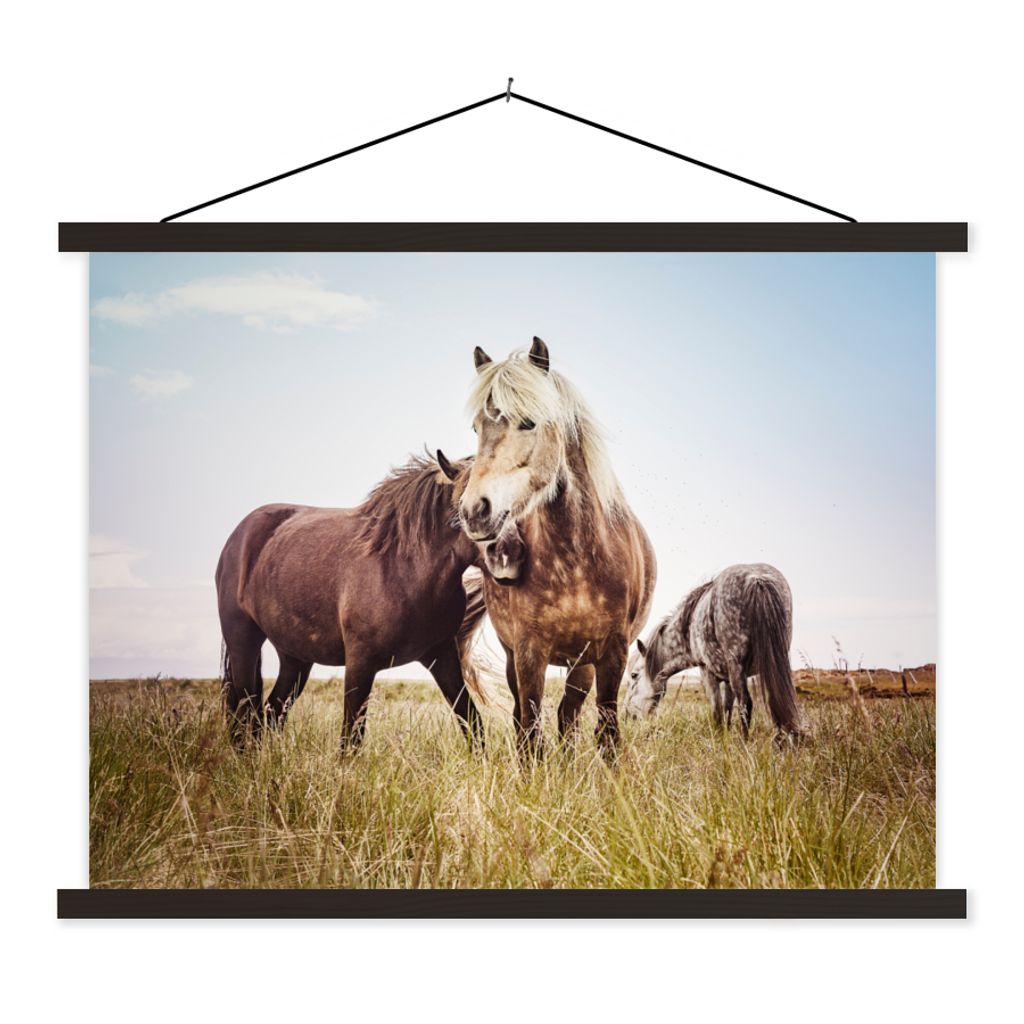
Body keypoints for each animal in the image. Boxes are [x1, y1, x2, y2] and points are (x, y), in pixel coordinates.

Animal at [215, 455, 502, 749]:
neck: (404, 567)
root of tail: (239, 535)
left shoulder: (442, 656)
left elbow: (472, 721)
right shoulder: (360, 662)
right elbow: (351, 735)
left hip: (295, 658)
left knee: (271, 711)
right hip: (243, 643)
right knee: (245, 712)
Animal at [450, 336, 656, 757]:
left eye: (528, 422)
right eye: (476, 426)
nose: (475, 511)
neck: (575, 562)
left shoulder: (612, 653)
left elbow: (607, 731)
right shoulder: (529, 652)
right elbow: (530, 729)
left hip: (582, 663)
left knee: (568, 714)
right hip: (517, 656)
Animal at [623, 563, 802, 739]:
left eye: (634, 675)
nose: (628, 715)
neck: (687, 630)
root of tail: (757, 579)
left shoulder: (707, 672)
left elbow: (717, 711)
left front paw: (719, 739)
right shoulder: (728, 679)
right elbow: (727, 709)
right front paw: (726, 737)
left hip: (737, 666)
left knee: (746, 703)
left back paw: (745, 742)